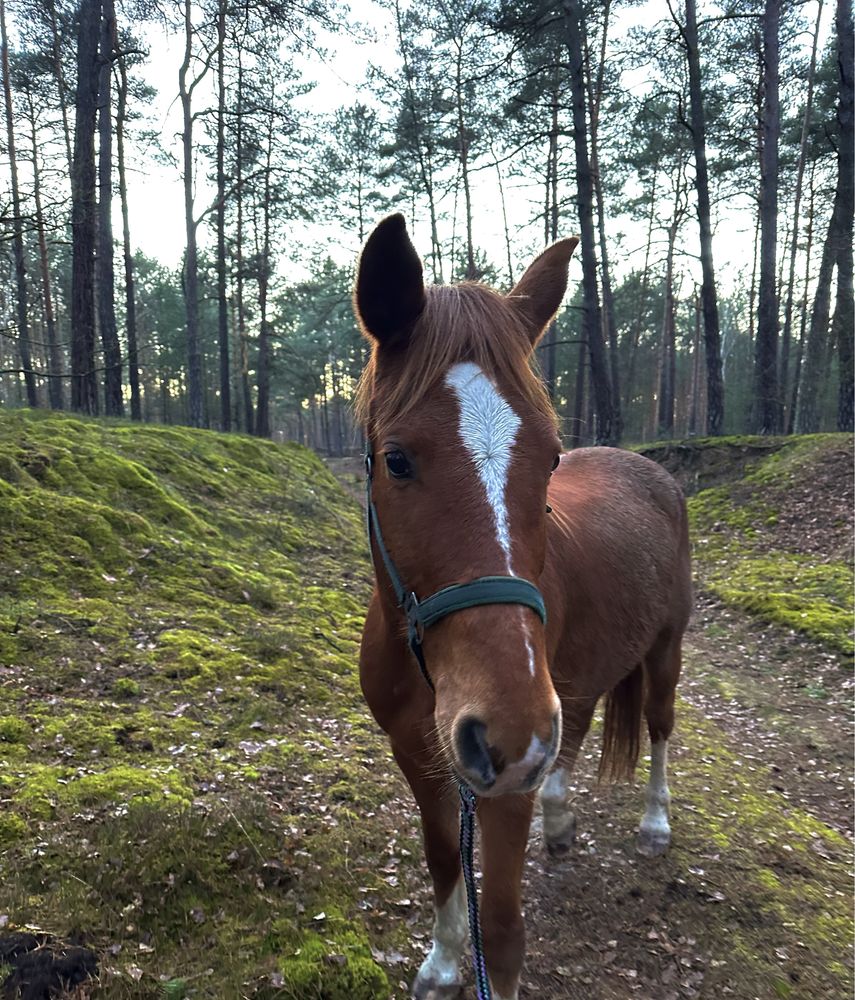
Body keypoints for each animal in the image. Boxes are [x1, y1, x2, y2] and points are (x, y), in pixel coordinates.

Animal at [354, 213, 696, 1000]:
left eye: (550, 458)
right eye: (397, 459)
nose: (508, 733)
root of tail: (651, 471)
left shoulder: (503, 782)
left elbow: (505, 934)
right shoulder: (419, 759)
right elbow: (443, 861)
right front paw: (445, 961)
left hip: (662, 647)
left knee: (658, 725)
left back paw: (654, 823)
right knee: (578, 726)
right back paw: (561, 817)